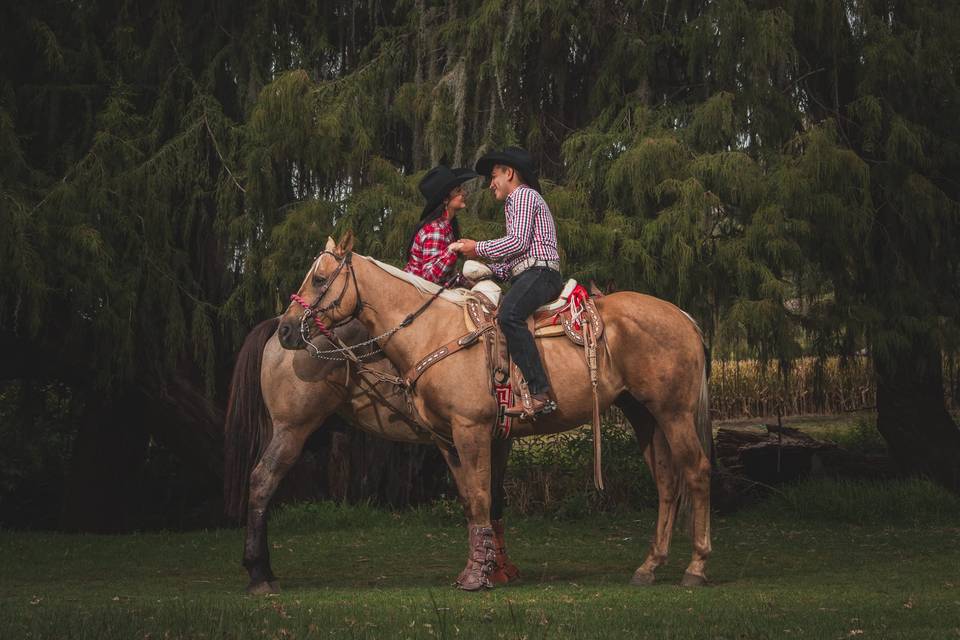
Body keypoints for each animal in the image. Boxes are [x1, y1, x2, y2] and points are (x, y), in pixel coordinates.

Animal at [222, 318, 520, 592]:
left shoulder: (495, 438)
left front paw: (499, 568)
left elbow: (492, 498)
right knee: (262, 480)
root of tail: (278, 325)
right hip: (292, 430)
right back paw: (259, 573)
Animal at [278, 234, 712, 592]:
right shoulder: (447, 439)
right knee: (667, 483)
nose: (285, 330)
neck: (432, 331)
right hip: (644, 414)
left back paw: (696, 567)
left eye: (320, 279)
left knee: (696, 471)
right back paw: (649, 566)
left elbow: (483, 497)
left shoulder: (472, 430)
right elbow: (471, 503)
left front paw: (479, 577)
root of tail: (684, 317)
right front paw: (475, 570)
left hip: (674, 412)